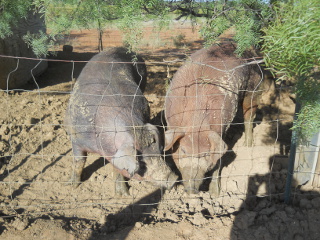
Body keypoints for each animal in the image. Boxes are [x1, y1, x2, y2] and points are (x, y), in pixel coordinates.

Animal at [64, 47, 178, 195]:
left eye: (158, 152)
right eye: (142, 164)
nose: (174, 179)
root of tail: (124, 48)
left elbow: (118, 170)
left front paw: (122, 194)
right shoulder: (75, 137)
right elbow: (79, 160)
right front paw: (72, 186)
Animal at [165, 41, 272, 195]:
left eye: (205, 154)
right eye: (184, 151)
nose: (191, 190)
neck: (196, 121)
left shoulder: (221, 128)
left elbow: (218, 163)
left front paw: (215, 194)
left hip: (254, 86)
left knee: (249, 115)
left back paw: (248, 144)